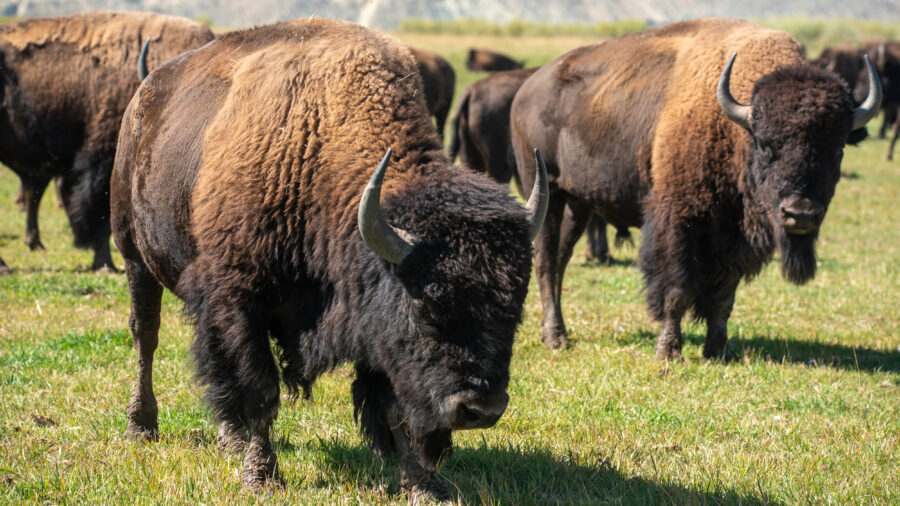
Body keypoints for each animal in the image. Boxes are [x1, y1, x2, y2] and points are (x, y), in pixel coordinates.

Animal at [111, 18, 548, 499]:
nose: (481, 409)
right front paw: (262, 477)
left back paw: (228, 440)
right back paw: (141, 427)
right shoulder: (240, 302)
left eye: (515, 309)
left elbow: (392, 407)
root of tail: (144, 96)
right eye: (424, 308)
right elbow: (261, 392)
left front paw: (423, 486)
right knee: (146, 336)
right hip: (134, 254)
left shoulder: (373, 328)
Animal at [511, 18, 880, 356]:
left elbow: (723, 297)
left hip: (578, 204)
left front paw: (718, 350)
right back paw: (556, 339)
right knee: (546, 262)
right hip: (545, 191)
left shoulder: (734, 240)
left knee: (560, 261)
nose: (799, 214)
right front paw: (668, 350)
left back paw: (559, 333)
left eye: (837, 148)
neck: (732, 127)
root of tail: (527, 90)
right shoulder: (678, 222)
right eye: (764, 143)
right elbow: (678, 290)